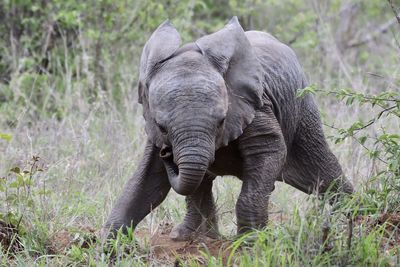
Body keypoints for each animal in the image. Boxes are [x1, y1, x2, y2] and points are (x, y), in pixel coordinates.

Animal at [104, 16, 354, 242]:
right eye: (161, 126)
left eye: (221, 121)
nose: (168, 153)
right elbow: (147, 181)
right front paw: (110, 248)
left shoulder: (255, 104)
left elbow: (269, 149)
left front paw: (250, 242)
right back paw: (190, 238)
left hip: (302, 109)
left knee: (324, 174)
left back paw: (357, 220)